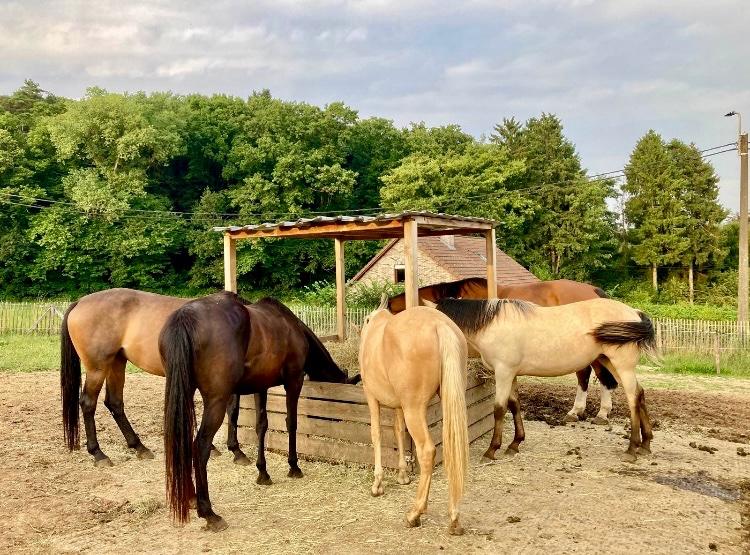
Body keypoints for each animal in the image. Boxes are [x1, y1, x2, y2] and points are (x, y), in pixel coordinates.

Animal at [61, 288, 251, 467]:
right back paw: (99, 454)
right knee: (88, 403)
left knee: (114, 402)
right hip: (97, 369)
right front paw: (234, 450)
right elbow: (229, 411)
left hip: (116, 362)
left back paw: (139, 447)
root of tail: (79, 302)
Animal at [160, 292, 349, 531]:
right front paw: (293, 466)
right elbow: (291, 423)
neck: (290, 325)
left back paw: (192, 498)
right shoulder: (294, 381)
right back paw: (209, 512)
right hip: (216, 402)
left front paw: (263, 472)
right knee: (200, 446)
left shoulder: (261, 386)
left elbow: (262, 425)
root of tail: (185, 317)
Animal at [359, 297, 469, 535]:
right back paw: (454, 518)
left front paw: (377, 484)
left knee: (427, 451)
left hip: (414, 409)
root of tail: (440, 325)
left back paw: (415, 514)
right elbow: (399, 432)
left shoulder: (371, 397)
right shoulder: (399, 406)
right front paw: (403, 475)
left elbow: (376, 434)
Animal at [430, 297, 656, 463]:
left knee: (633, 398)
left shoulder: (503, 372)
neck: (493, 325)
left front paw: (491, 450)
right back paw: (645, 445)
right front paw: (515, 444)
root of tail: (635, 312)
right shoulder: (511, 374)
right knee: (640, 394)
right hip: (609, 362)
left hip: (622, 366)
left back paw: (632, 448)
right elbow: (515, 405)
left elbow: (500, 409)